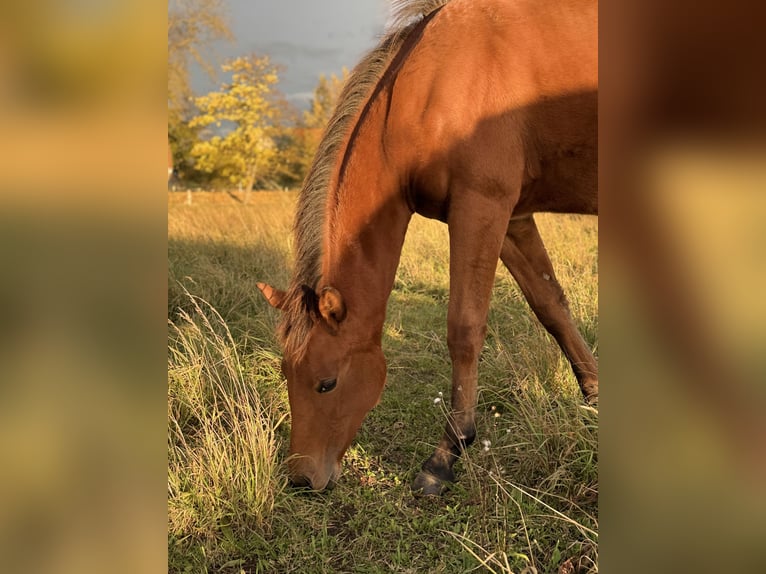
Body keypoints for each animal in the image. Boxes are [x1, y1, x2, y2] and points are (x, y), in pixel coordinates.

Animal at [258, 0, 598, 494]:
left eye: (327, 383)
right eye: (286, 373)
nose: (302, 478)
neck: (437, 83)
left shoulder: (481, 207)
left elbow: (464, 329)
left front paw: (445, 457)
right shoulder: (512, 219)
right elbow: (551, 307)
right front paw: (595, 395)